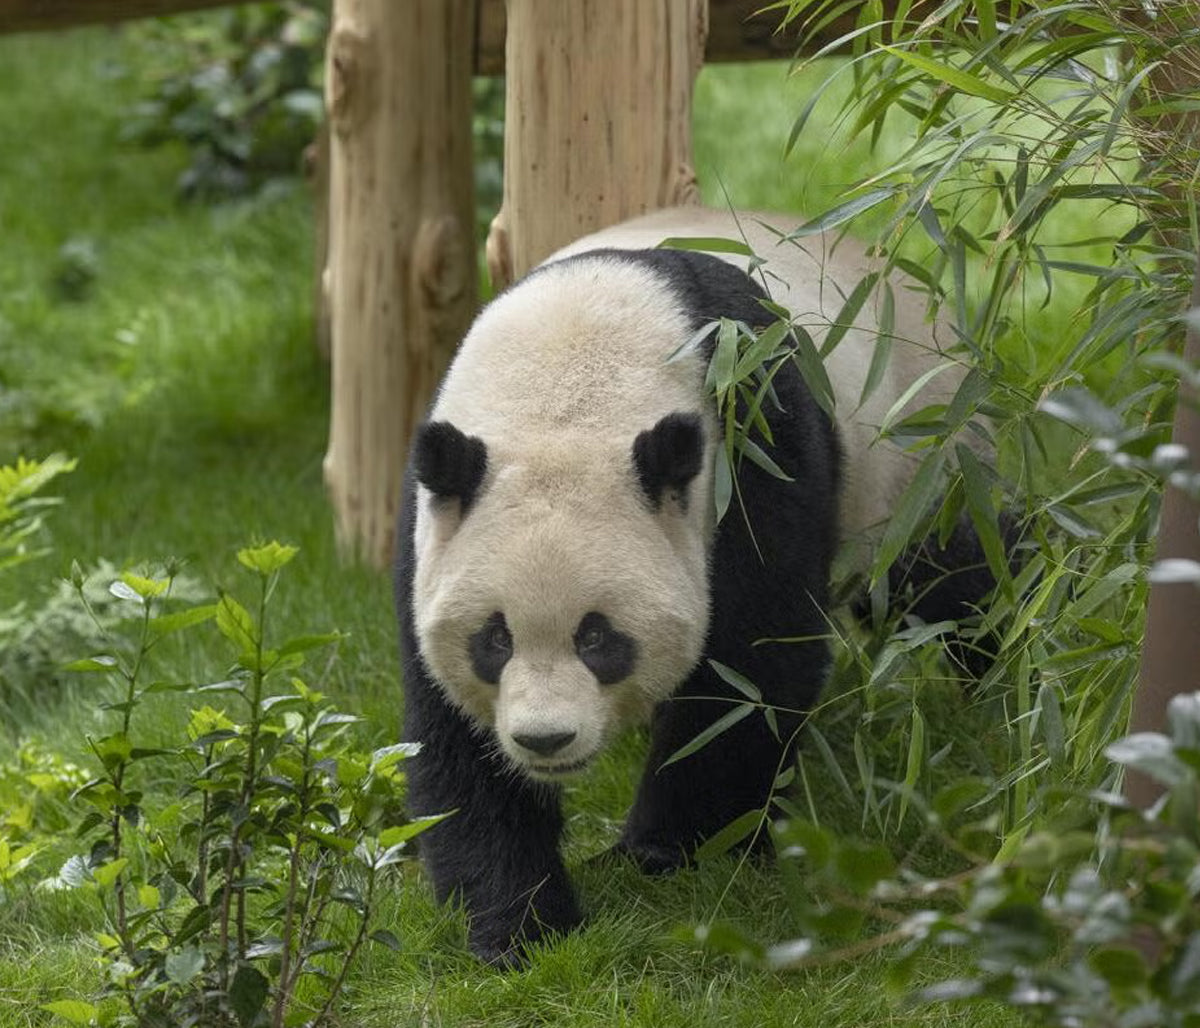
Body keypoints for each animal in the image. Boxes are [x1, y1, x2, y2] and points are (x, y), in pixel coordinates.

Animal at [395, 206, 992, 965]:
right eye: (493, 641)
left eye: (598, 639)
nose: (546, 740)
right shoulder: (433, 523)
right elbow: (453, 736)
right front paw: (519, 925)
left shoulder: (752, 438)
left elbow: (749, 670)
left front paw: (667, 852)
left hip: (918, 458)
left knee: (957, 579)